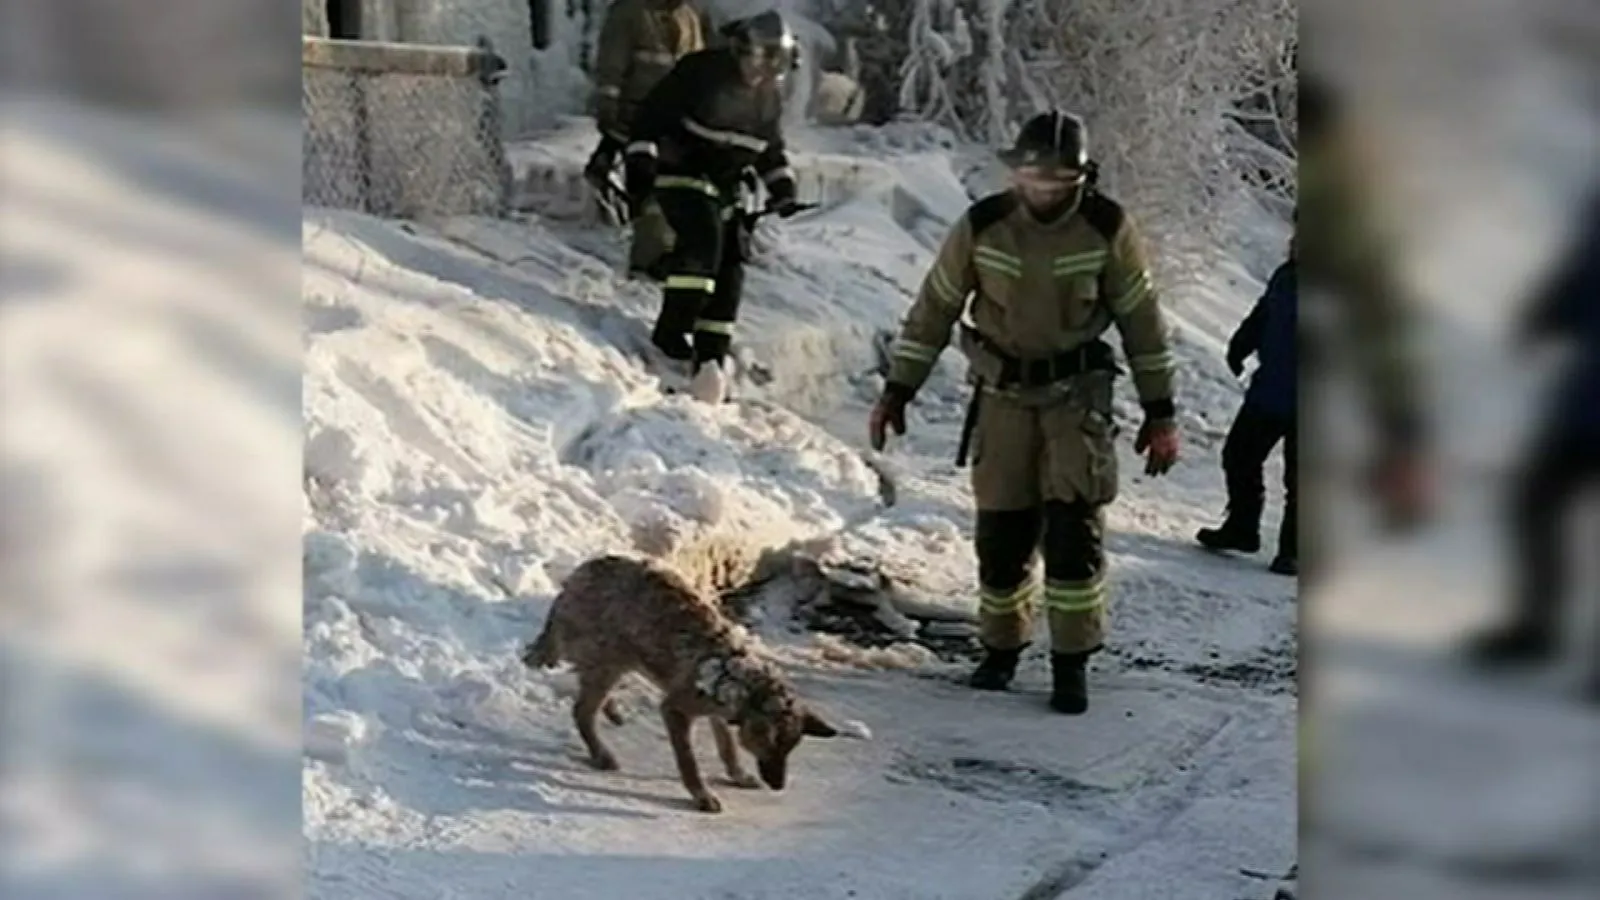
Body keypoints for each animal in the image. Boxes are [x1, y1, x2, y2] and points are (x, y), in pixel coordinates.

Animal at [528, 550, 851, 810]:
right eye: (769, 745)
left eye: (790, 748)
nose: (778, 786)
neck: (745, 684)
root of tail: (574, 579)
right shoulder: (676, 710)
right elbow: (689, 761)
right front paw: (701, 796)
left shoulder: (718, 714)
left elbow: (728, 748)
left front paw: (737, 775)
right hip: (609, 662)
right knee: (581, 711)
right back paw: (601, 753)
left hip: (616, 663)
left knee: (591, 697)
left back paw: (612, 711)